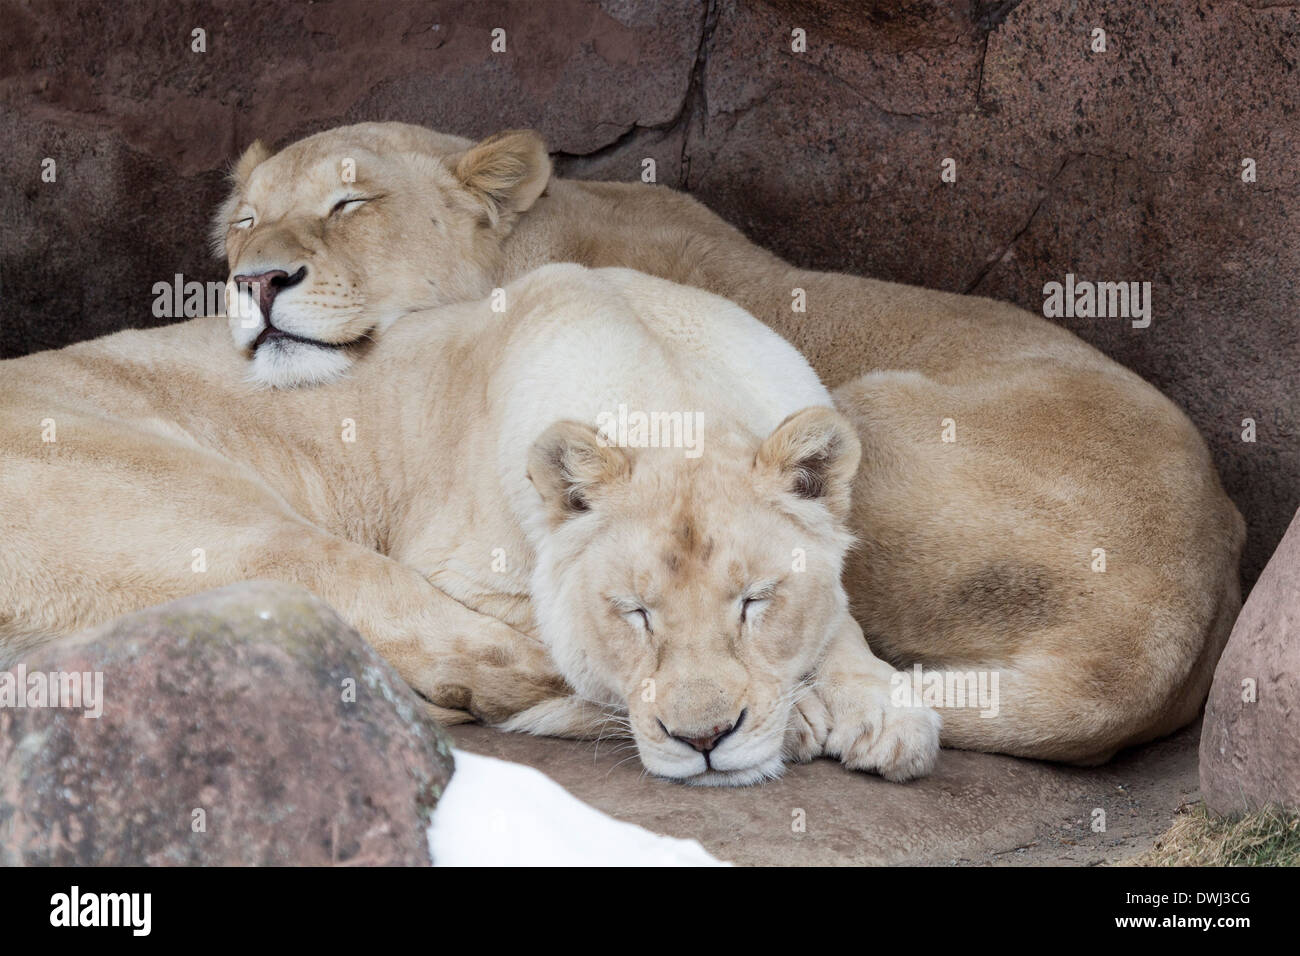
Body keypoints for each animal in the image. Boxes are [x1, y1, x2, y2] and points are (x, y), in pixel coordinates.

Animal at [0, 264, 935, 785]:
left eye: (756, 599)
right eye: (633, 613)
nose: (704, 738)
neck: (670, 386)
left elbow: (838, 611)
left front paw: (885, 713)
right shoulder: (467, 563)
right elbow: (557, 653)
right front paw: (811, 714)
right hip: (182, 500)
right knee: (466, 659)